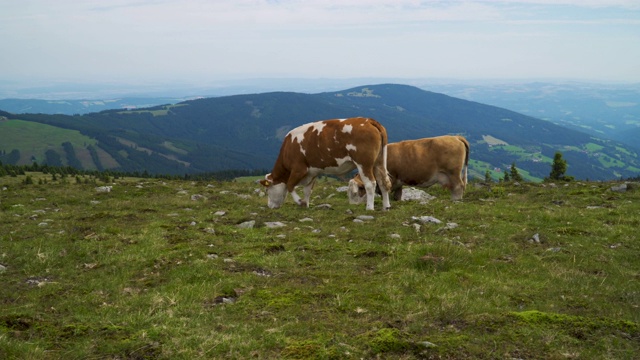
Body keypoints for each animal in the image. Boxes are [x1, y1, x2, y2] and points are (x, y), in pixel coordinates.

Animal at [258, 116, 390, 210]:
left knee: (370, 184)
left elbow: (290, 185)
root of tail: (369, 121)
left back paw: (370, 208)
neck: (288, 148)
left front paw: (300, 202)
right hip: (379, 162)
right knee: (383, 182)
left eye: (267, 190)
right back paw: (386, 207)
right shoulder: (312, 172)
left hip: (364, 163)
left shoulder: (299, 169)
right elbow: (307, 190)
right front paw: (306, 204)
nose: (269, 206)